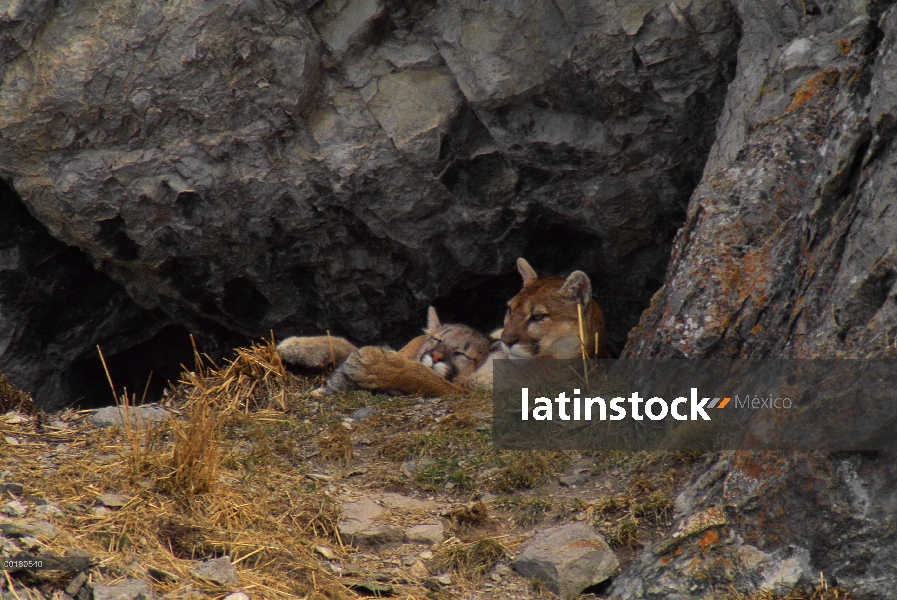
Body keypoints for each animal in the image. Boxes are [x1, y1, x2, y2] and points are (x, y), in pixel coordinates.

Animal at [274, 256, 608, 394]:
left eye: (538, 317)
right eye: (510, 310)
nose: (507, 339)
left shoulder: (468, 393)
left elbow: (425, 377)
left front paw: (375, 366)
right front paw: (299, 346)